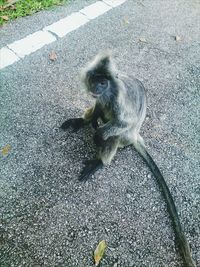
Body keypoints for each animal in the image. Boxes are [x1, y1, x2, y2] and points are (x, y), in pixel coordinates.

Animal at [60, 52, 195, 267]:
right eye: (95, 80)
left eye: (103, 82)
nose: (96, 89)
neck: (108, 92)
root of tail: (135, 136)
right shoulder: (100, 99)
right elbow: (97, 107)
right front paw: (91, 120)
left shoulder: (117, 100)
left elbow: (123, 121)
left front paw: (97, 136)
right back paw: (82, 122)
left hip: (125, 136)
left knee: (114, 134)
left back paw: (99, 161)